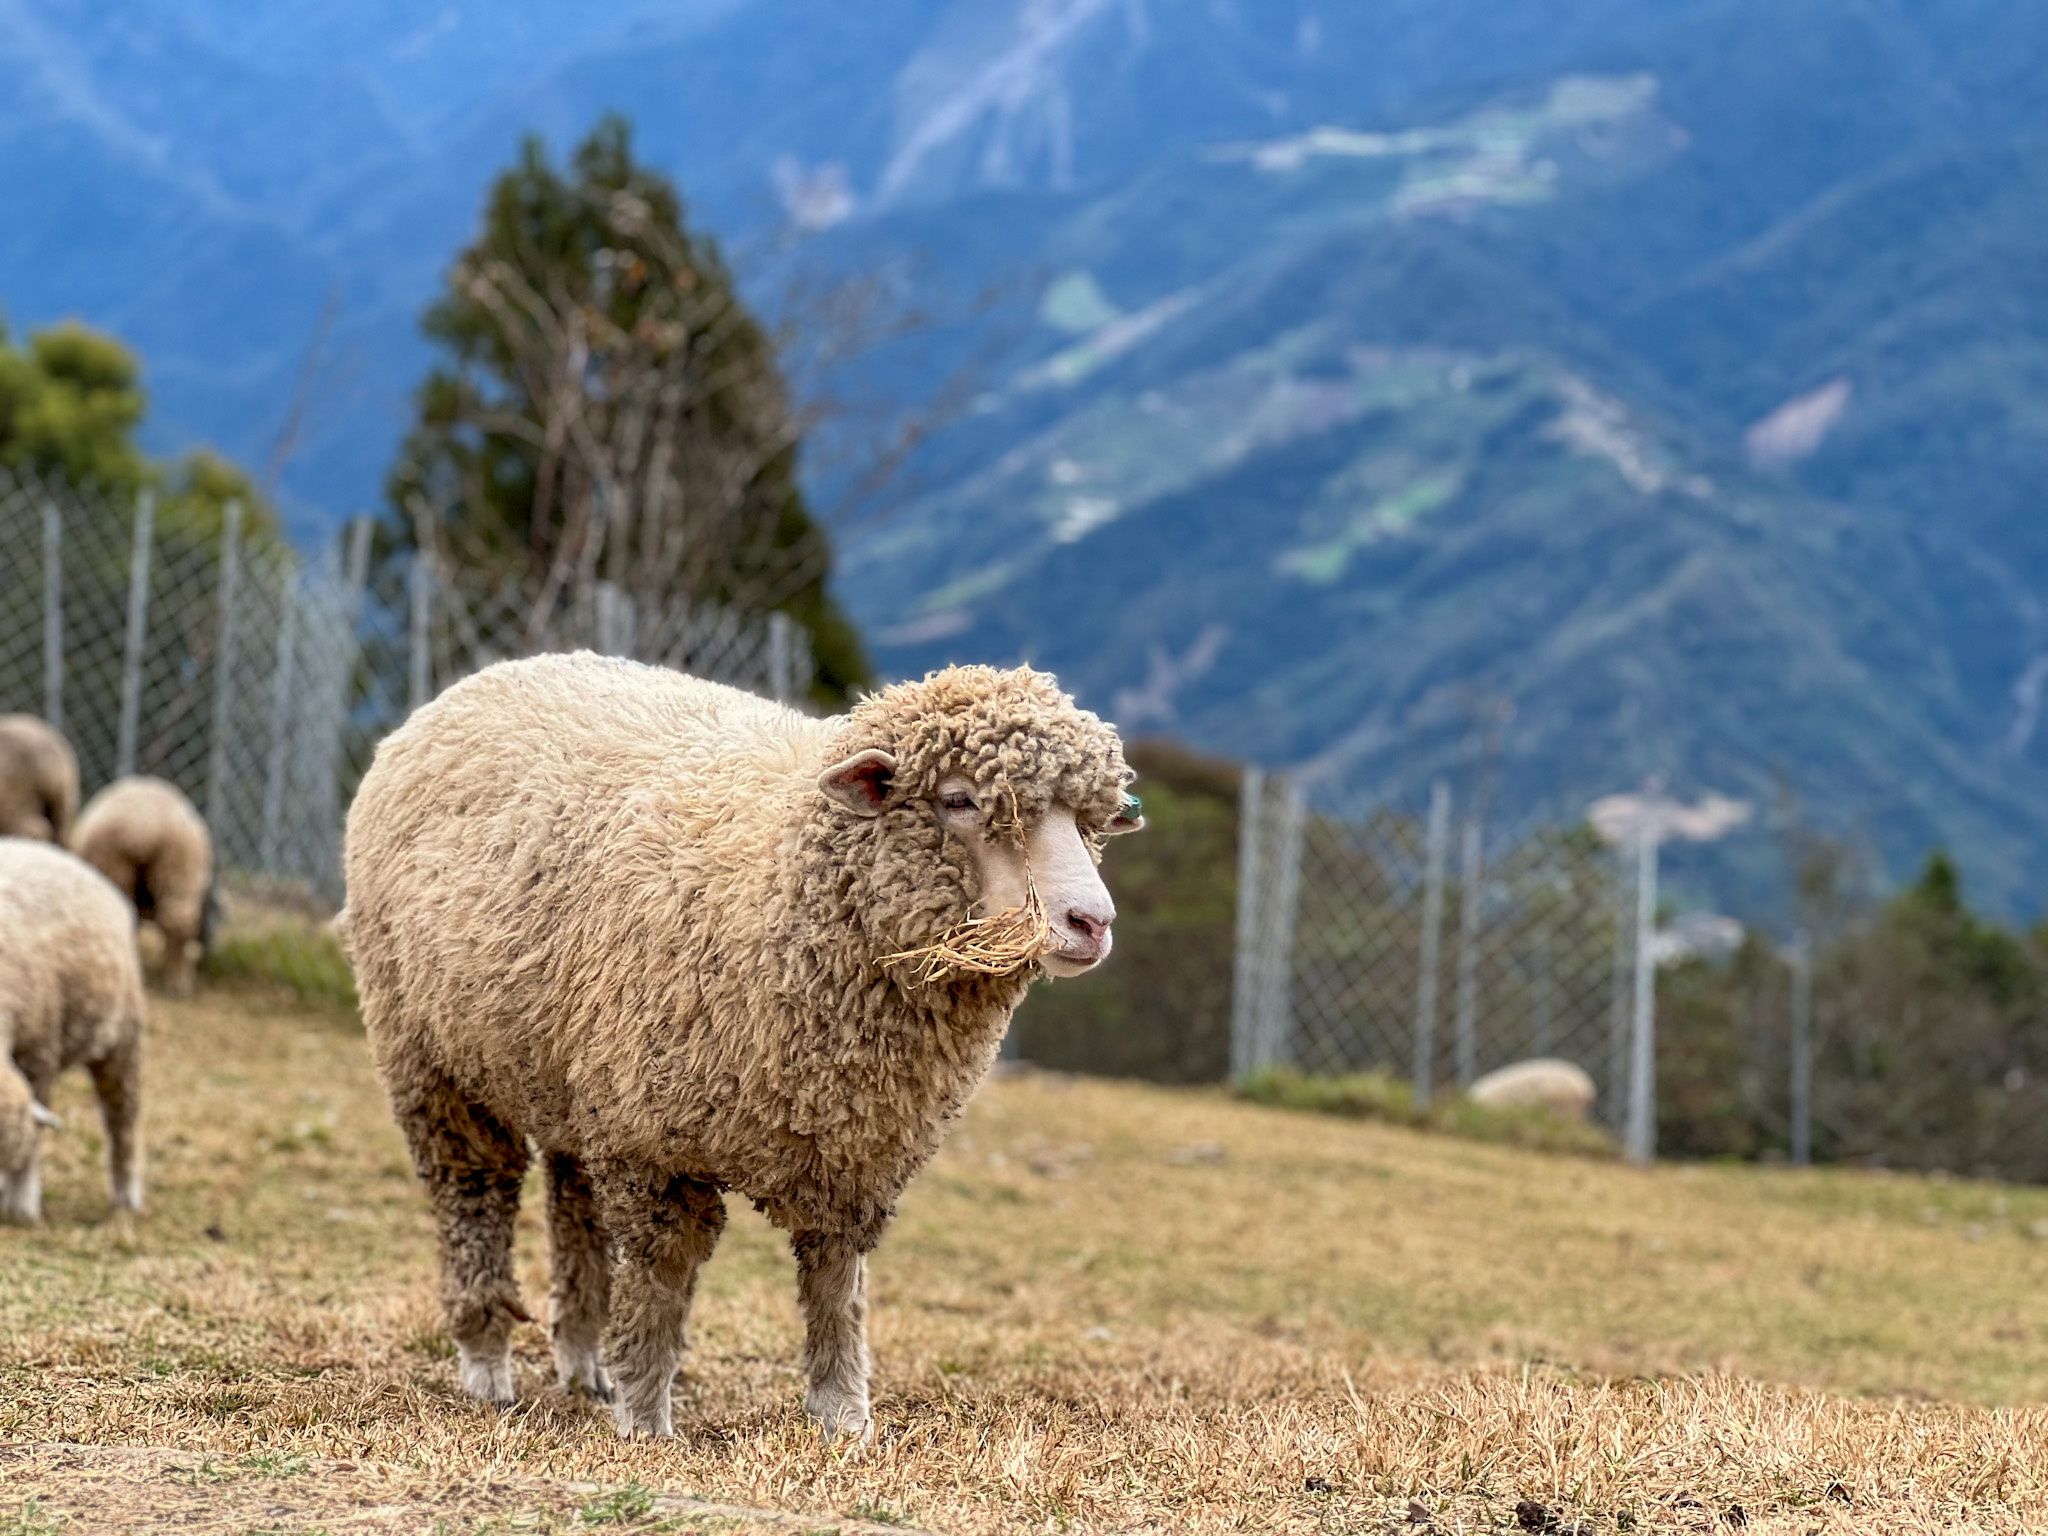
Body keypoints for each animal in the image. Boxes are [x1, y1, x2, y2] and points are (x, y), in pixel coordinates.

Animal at [0, 843, 146, 1228]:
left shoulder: (40, 1049)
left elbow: (35, 1138)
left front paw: (23, 1202)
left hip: (122, 1040)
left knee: (123, 1120)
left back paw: (127, 1194)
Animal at [335, 659, 1138, 1441]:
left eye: (1088, 822)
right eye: (961, 800)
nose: (1092, 921)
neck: (776, 885)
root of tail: (478, 680)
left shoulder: (852, 1155)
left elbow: (835, 1286)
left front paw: (843, 1416)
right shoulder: (653, 1147)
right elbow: (660, 1282)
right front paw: (646, 1418)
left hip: (571, 1075)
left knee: (573, 1206)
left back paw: (583, 1363)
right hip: (436, 1064)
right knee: (476, 1195)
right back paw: (487, 1363)